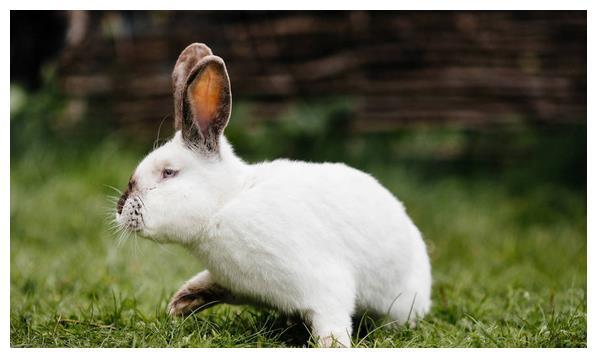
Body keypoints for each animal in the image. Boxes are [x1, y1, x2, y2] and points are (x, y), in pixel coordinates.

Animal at [116, 42, 430, 346]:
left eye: (168, 172)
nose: (120, 208)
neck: (224, 206)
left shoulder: (325, 285)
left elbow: (331, 319)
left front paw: (334, 345)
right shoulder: (236, 283)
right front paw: (181, 303)